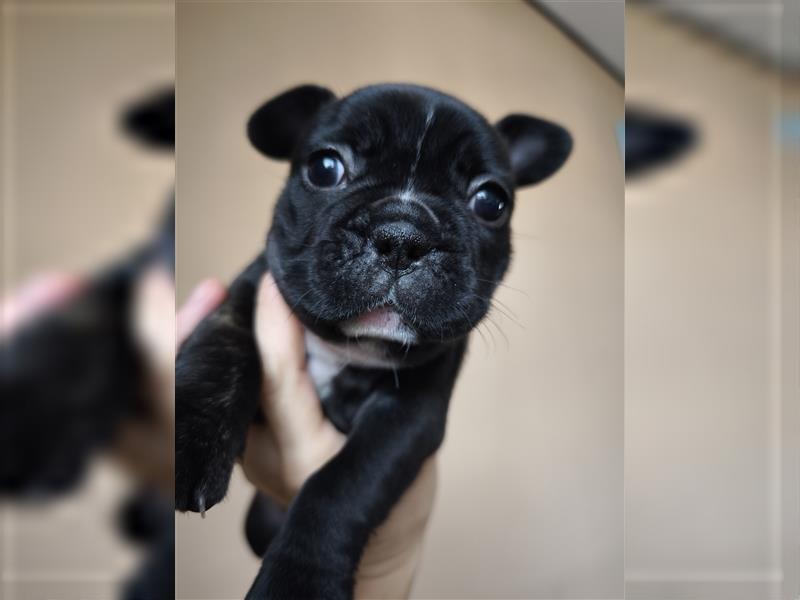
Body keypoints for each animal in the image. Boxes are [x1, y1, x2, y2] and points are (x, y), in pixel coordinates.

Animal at [177, 82, 572, 596]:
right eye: (324, 169)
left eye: (491, 201)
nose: (402, 237)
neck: (344, 345)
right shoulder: (244, 298)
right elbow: (218, 352)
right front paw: (189, 440)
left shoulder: (408, 415)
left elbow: (344, 484)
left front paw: (299, 580)